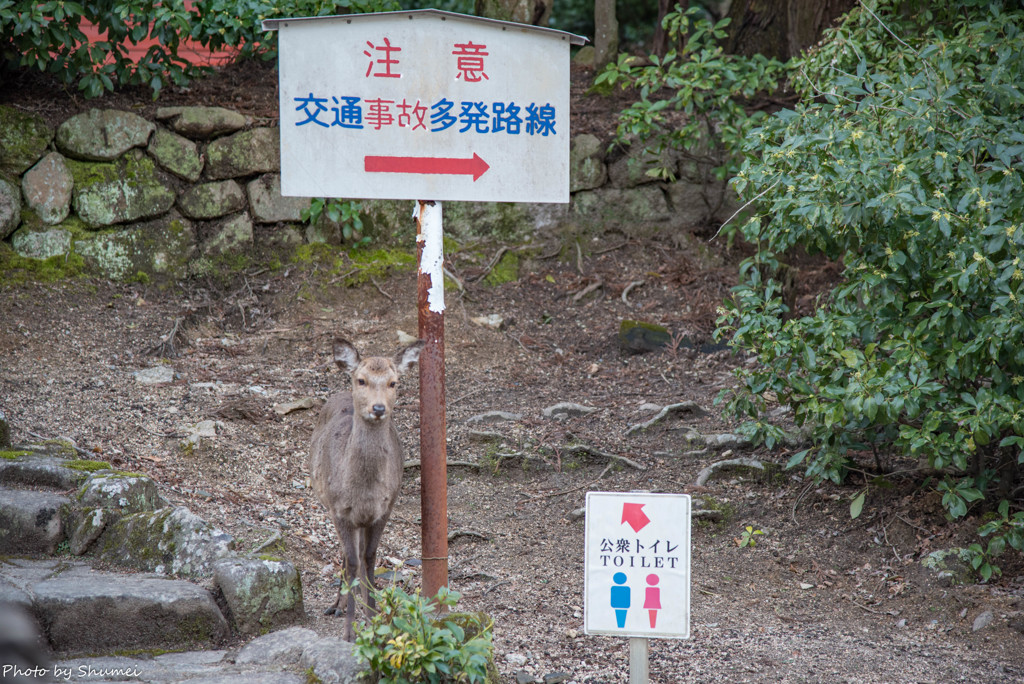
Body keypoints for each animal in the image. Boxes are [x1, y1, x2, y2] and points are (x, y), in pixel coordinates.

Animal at [309, 335, 425, 643]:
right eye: (361, 380)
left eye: (393, 382)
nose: (378, 408)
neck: (363, 491)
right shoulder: (339, 509)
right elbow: (351, 561)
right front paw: (350, 632)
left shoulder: (384, 510)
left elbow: (370, 560)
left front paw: (375, 621)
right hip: (329, 504)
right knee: (347, 555)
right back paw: (337, 605)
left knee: (360, 557)